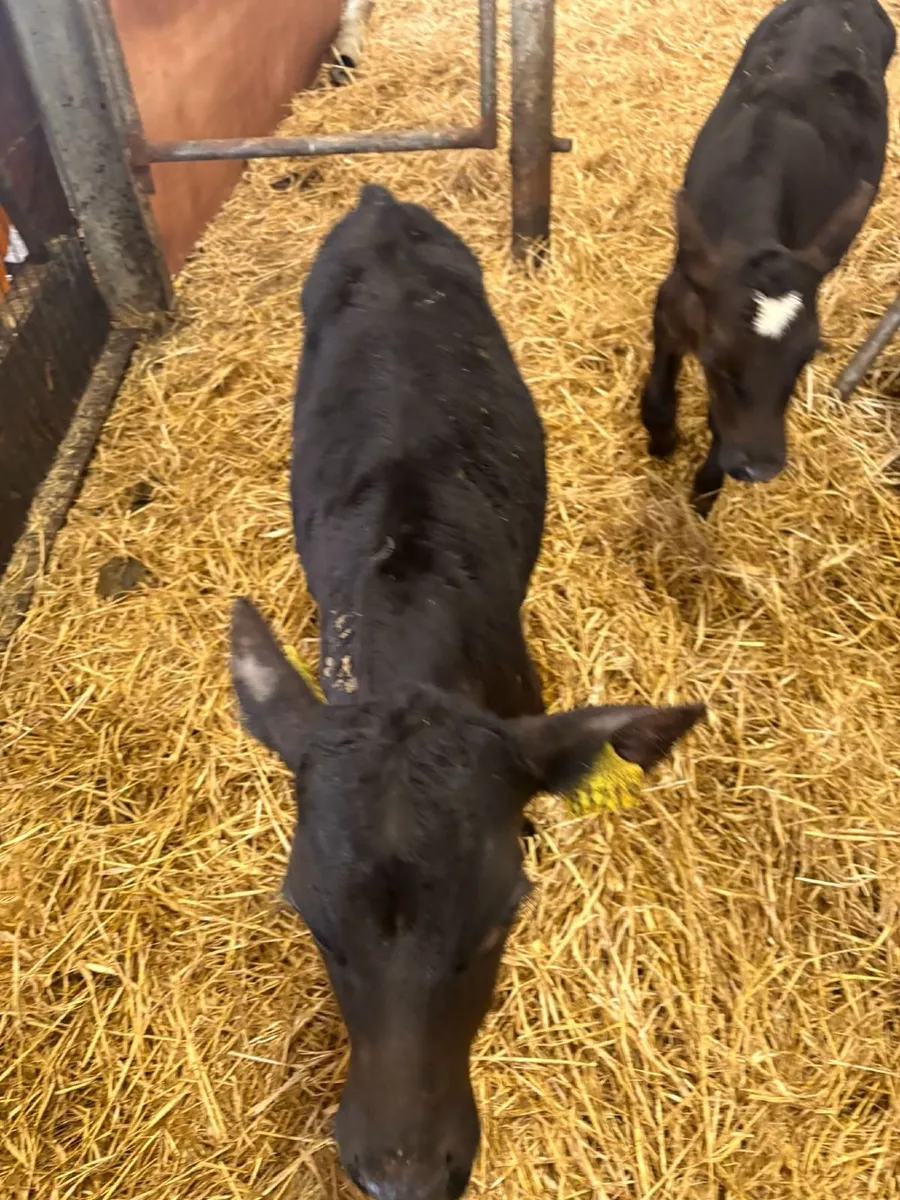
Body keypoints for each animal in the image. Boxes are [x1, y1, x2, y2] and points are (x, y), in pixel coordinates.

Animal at [640, 0, 896, 516]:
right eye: (717, 356)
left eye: (806, 356)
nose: (760, 467)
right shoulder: (674, 298)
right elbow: (657, 399)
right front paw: (662, 442)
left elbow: (721, 423)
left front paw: (706, 488)